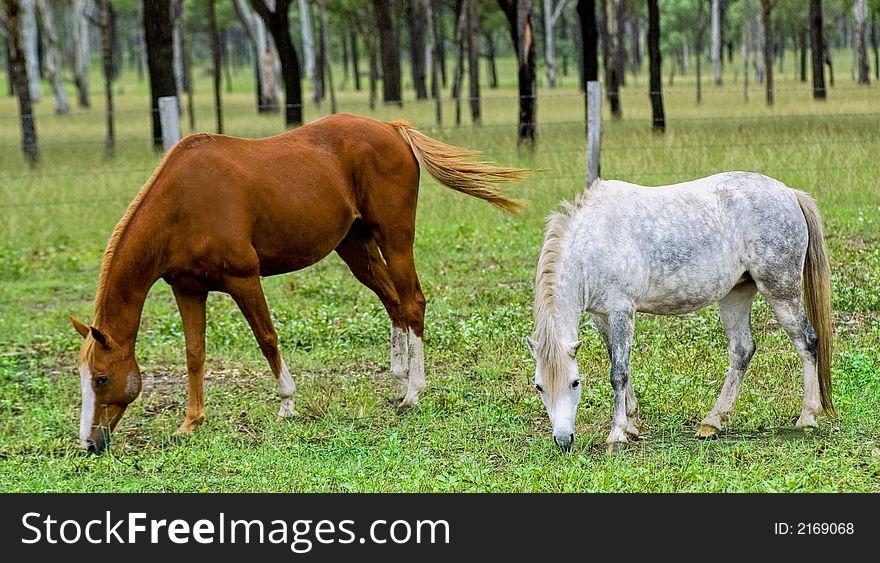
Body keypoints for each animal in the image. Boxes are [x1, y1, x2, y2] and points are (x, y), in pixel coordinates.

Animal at [72, 113, 524, 454]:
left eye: (101, 378)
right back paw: (398, 382)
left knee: (413, 303)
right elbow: (194, 353)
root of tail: (391, 128)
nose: (89, 444)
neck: (182, 201)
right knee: (394, 303)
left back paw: (413, 392)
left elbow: (267, 338)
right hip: (356, 247)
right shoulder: (188, 288)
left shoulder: (243, 278)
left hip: (395, 239)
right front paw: (190, 422)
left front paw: (287, 404)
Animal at [524, 172, 836, 454]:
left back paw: (807, 416)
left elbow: (619, 374)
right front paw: (632, 424)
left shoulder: (622, 311)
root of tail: (789, 193)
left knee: (806, 342)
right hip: (736, 295)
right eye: (538, 386)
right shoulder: (602, 317)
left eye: (575, 382)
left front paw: (616, 435)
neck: (593, 243)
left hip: (780, 291)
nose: (563, 441)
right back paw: (712, 422)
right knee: (742, 351)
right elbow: (620, 364)